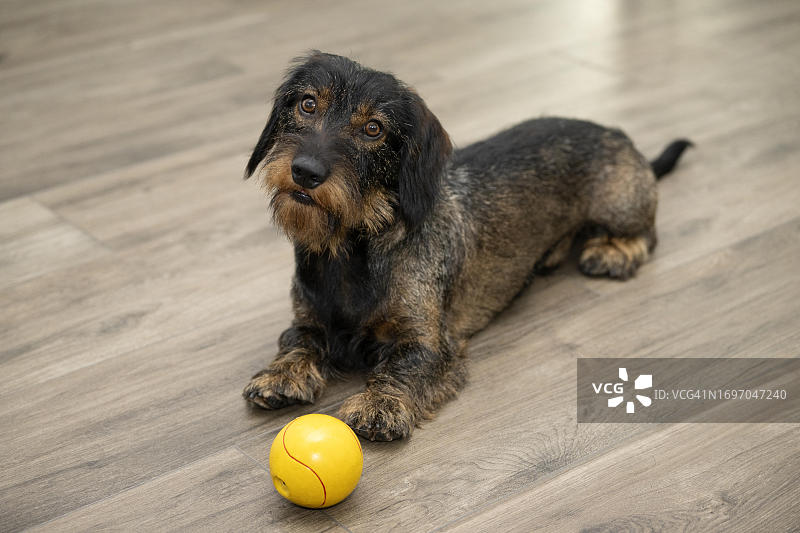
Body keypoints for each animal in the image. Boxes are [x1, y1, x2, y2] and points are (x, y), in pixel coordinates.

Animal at [241, 52, 692, 438]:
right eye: (307, 104)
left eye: (374, 129)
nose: (306, 171)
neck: (351, 251)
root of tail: (616, 133)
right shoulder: (308, 320)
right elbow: (297, 340)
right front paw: (281, 374)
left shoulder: (429, 343)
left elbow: (404, 366)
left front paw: (379, 404)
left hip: (620, 205)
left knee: (646, 234)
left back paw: (612, 251)